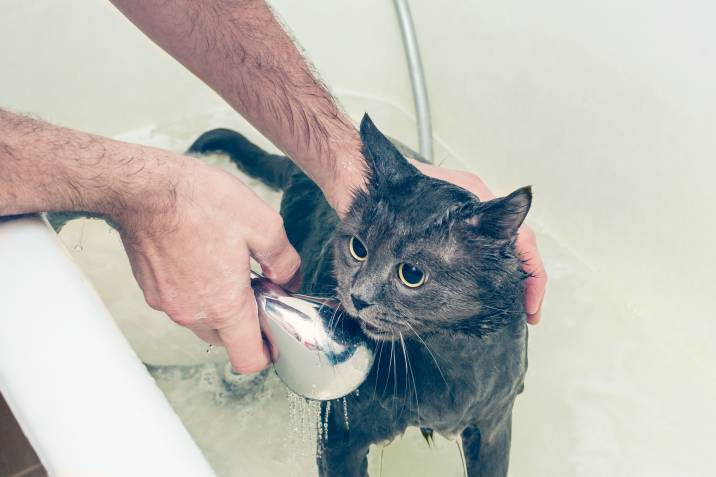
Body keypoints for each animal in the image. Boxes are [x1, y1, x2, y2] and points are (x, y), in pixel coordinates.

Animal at [190, 115, 532, 476]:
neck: (443, 360)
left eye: (412, 274)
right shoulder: (341, 434)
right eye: (358, 248)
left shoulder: (494, 422)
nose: (358, 297)